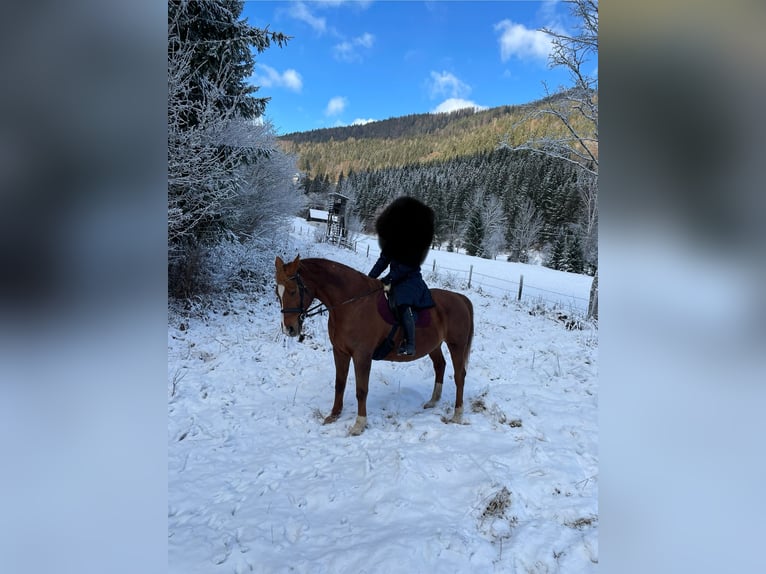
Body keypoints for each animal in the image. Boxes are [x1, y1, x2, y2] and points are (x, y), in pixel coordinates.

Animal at [276, 256, 474, 436]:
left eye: (293, 291)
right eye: (278, 293)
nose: (289, 329)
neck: (352, 305)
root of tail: (460, 298)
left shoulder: (361, 355)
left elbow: (361, 390)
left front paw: (359, 425)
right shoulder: (340, 352)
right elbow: (339, 384)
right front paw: (333, 415)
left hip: (456, 345)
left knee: (459, 376)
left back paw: (457, 415)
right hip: (434, 345)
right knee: (440, 366)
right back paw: (433, 401)